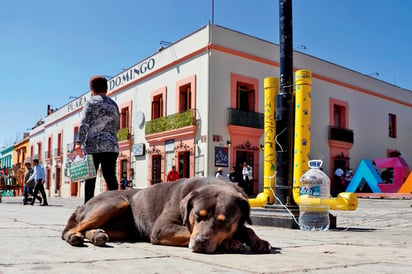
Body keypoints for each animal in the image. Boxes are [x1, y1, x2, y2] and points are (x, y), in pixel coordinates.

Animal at [61, 177, 272, 254]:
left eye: (225, 220)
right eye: (197, 216)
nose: (200, 243)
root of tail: (83, 204)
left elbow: (246, 228)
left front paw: (258, 241)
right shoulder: (162, 229)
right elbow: (189, 232)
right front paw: (231, 242)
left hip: (123, 229)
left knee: (89, 228)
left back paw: (96, 234)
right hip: (116, 202)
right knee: (73, 229)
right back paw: (74, 236)